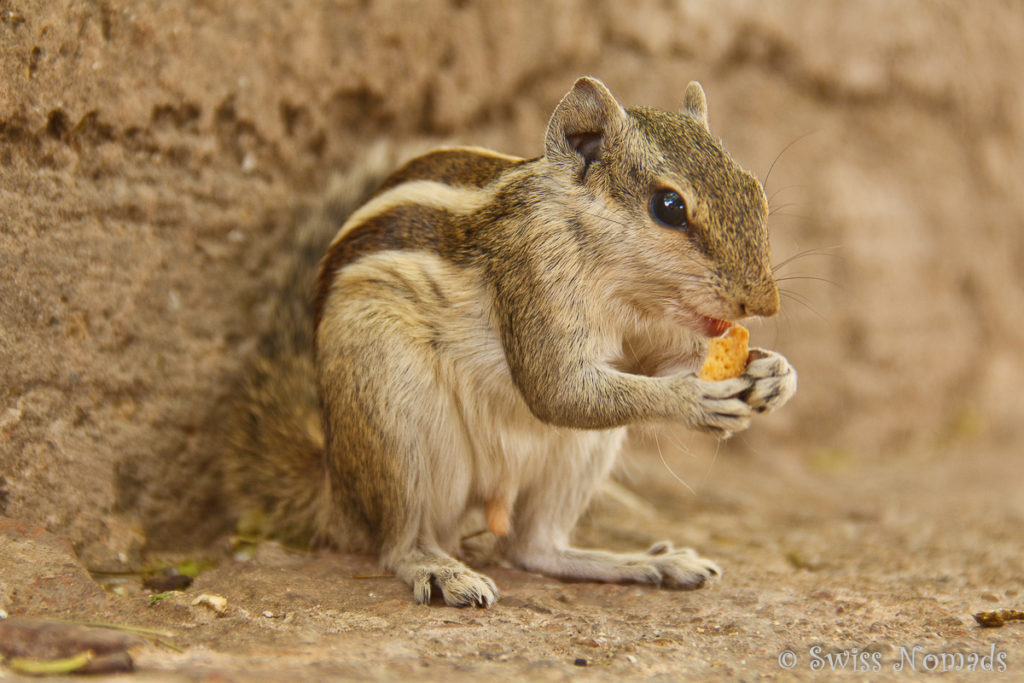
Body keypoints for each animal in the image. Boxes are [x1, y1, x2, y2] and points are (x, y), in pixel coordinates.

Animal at [226, 77, 798, 606]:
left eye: (756, 191)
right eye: (669, 206)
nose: (765, 304)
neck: (623, 285)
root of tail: (336, 489)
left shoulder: (652, 335)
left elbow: (656, 364)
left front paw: (775, 373)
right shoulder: (532, 277)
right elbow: (558, 390)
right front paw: (695, 400)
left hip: (581, 452)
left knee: (533, 549)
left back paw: (641, 563)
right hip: (395, 417)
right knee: (396, 540)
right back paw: (438, 569)